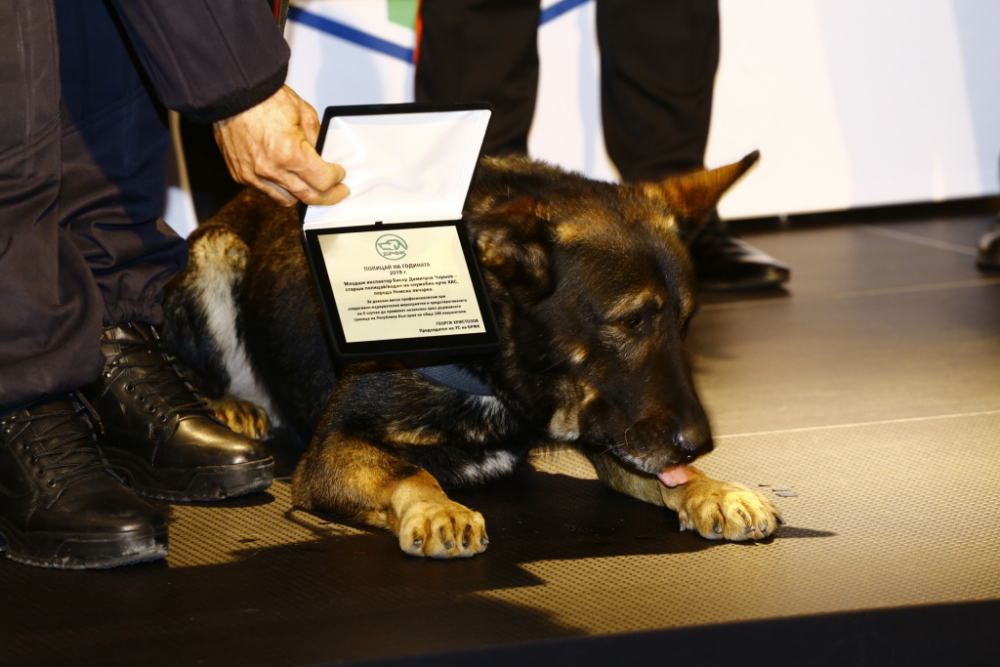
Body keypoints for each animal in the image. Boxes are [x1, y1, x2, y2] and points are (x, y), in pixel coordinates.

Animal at [162, 151, 780, 560]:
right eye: (629, 322)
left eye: (684, 324)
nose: (700, 444)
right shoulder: (331, 450)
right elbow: (406, 468)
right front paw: (437, 507)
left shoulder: (610, 429)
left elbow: (658, 472)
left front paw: (710, 487)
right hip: (216, 254)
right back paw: (228, 404)